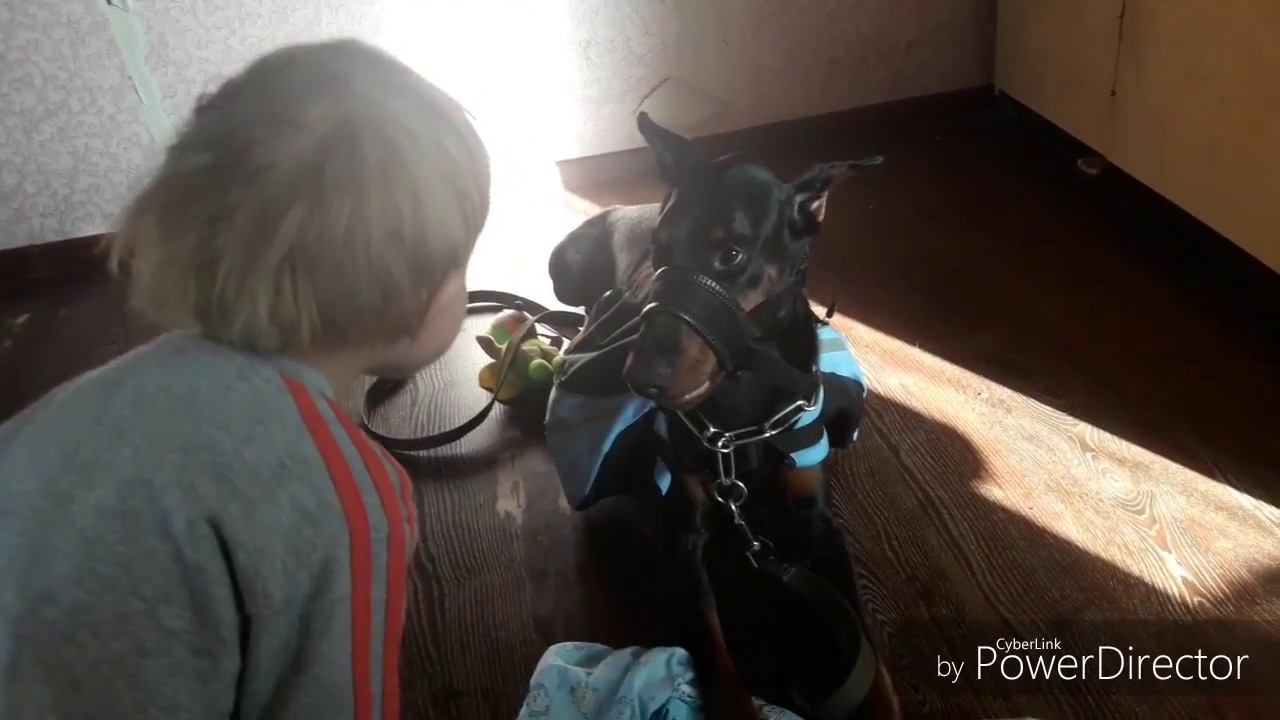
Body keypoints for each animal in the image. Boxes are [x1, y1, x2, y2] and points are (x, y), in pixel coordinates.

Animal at [549, 113, 899, 720]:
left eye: (731, 255)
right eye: (659, 249)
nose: (641, 378)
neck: (741, 416)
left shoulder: (817, 521)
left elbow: (864, 642)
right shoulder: (684, 537)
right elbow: (715, 653)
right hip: (565, 273)